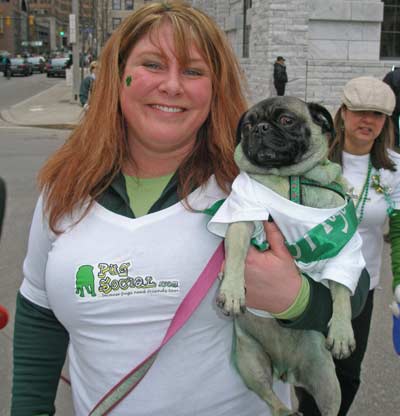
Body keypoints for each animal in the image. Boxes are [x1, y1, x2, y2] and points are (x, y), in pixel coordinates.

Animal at [206, 96, 366, 414]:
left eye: (286, 120)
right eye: (248, 125)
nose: (260, 128)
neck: (291, 178)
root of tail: (285, 370)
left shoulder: (345, 248)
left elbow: (342, 291)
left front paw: (342, 331)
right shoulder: (244, 217)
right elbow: (236, 254)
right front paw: (232, 290)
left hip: (328, 381)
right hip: (250, 362)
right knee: (271, 398)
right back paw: (286, 410)